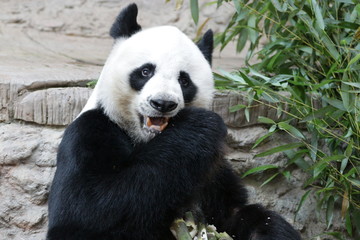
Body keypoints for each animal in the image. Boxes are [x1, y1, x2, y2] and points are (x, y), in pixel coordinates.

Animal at [47, 3, 300, 240]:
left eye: (184, 80)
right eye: (146, 71)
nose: (163, 103)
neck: (146, 139)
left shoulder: (212, 169)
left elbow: (235, 213)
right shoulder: (90, 133)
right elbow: (86, 211)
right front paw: (199, 127)